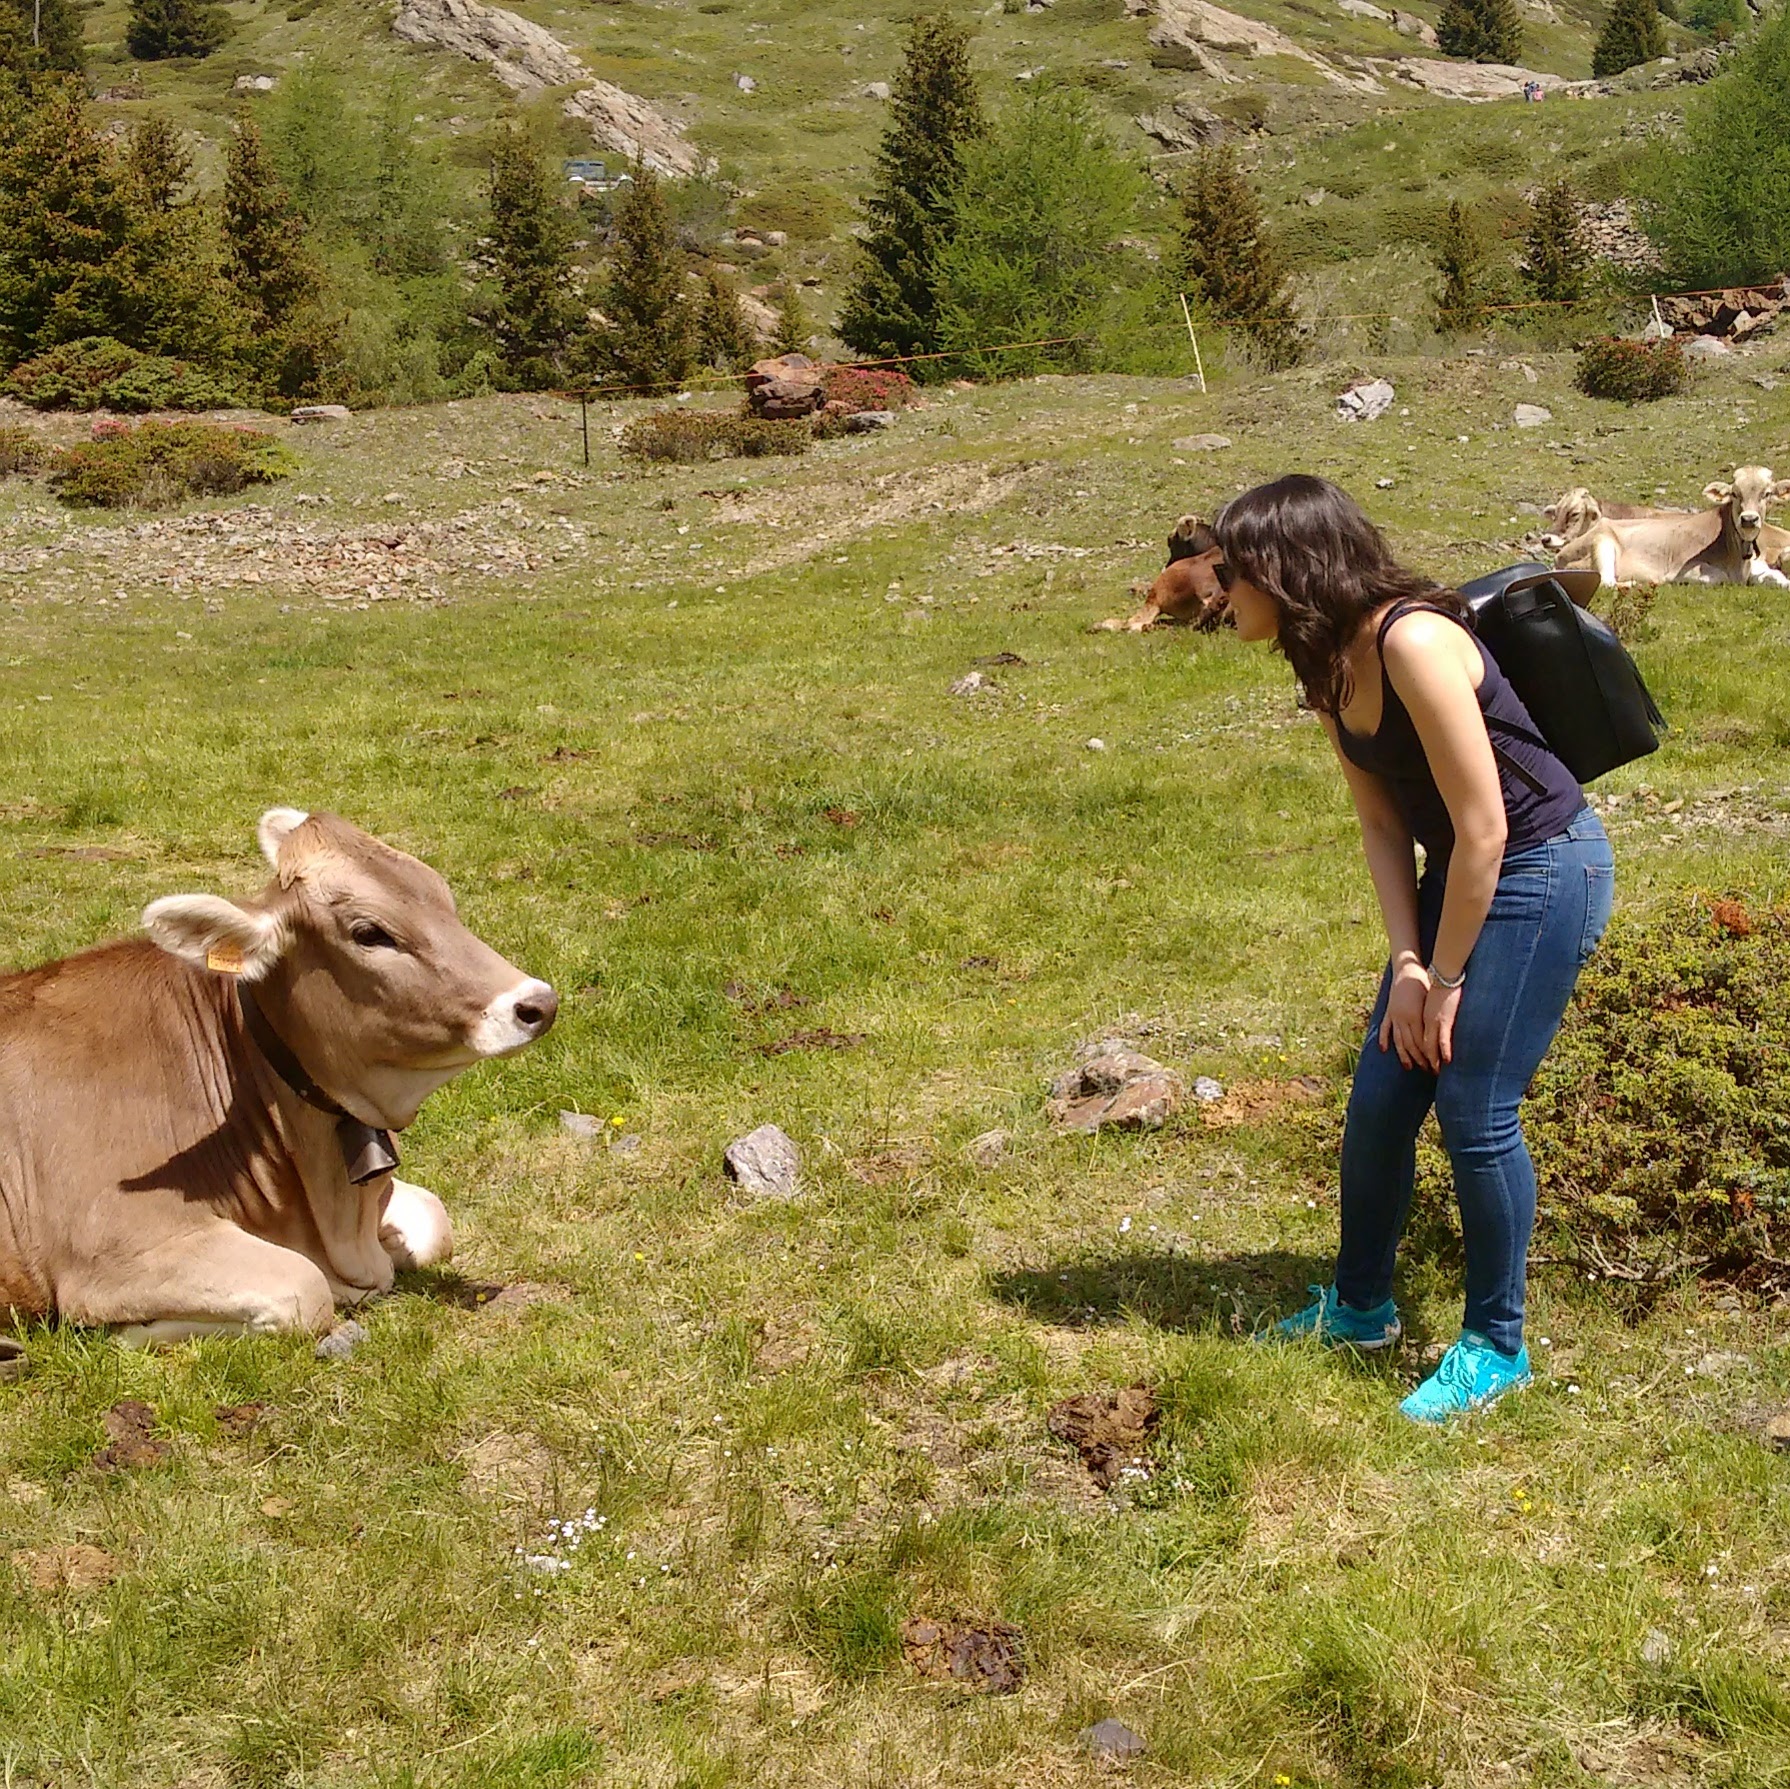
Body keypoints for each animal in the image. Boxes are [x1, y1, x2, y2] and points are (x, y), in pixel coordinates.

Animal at [0, 809, 558, 1344]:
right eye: (369, 933)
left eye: (442, 896)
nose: (539, 1004)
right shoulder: (113, 1246)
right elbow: (304, 1289)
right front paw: (131, 1329)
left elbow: (433, 1219)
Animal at [1553, 466, 1790, 589]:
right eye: (1735, 493)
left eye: (1767, 493)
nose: (1749, 519)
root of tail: (1559, 557)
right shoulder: (1687, 569)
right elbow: (1717, 577)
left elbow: (1776, 578)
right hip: (1602, 544)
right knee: (1606, 582)